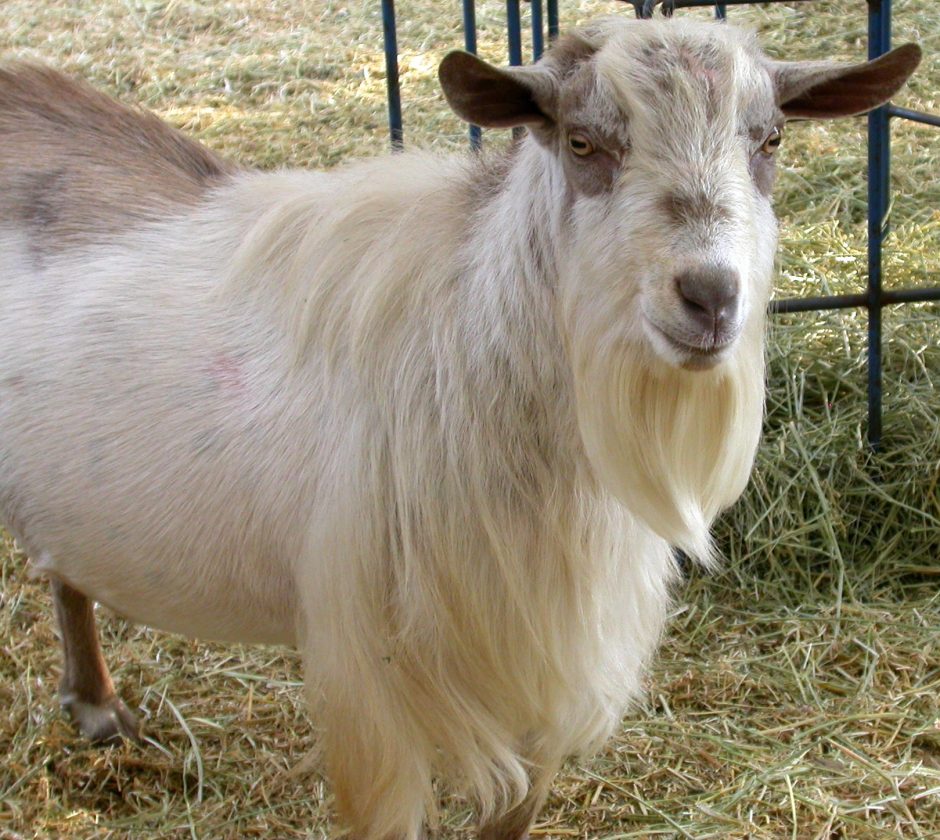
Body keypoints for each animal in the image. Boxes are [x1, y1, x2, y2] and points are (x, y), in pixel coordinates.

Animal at [0, 15, 919, 840]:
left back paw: (94, 702)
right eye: (582, 143)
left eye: (770, 140)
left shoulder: (546, 669)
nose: (710, 295)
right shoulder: (371, 687)